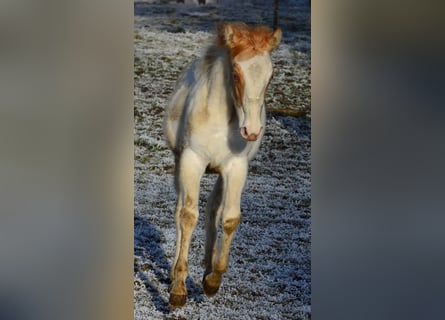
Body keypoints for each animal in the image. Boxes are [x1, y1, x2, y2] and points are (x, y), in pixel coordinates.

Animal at [163, 21, 280, 308]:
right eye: (236, 74)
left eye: (270, 76)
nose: (252, 130)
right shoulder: (192, 161)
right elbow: (187, 216)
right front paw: (178, 289)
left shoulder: (236, 167)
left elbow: (229, 218)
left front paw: (213, 280)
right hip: (180, 162)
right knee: (180, 210)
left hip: (217, 173)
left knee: (212, 210)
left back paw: (207, 268)